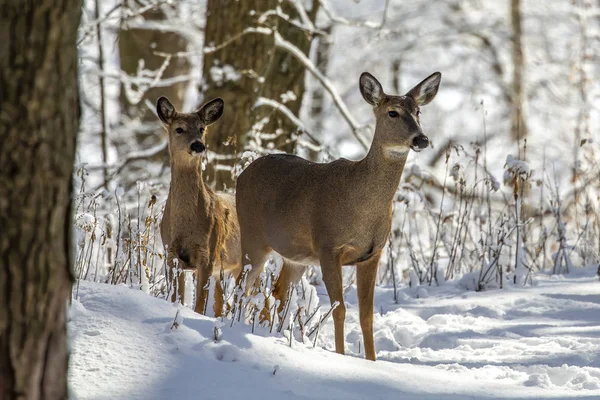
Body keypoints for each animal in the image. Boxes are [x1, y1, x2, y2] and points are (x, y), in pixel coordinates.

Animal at [157, 96, 241, 316]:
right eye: (179, 129)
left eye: (202, 128)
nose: (198, 145)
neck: (186, 224)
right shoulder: (171, 253)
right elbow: (176, 297)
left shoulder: (207, 254)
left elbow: (199, 305)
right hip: (221, 271)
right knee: (221, 303)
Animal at [234, 70, 440, 360]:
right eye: (393, 112)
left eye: (418, 111)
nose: (421, 139)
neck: (361, 204)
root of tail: (241, 174)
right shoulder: (328, 246)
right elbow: (339, 309)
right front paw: (341, 357)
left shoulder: (373, 253)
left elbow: (366, 315)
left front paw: (372, 361)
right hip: (253, 238)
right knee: (239, 285)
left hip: (296, 256)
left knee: (277, 291)